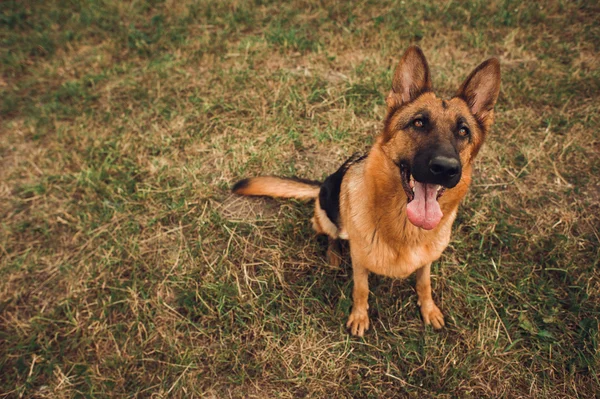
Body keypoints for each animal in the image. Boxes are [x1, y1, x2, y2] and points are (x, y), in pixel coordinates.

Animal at [232, 47, 500, 338]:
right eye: (418, 123)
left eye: (463, 131)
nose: (445, 168)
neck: (404, 229)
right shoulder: (359, 260)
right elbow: (361, 289)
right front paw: (359, 317)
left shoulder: (426, 261)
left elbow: (424, 283)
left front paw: (428, 309)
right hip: (325, 215)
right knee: (332, 235)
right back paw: (333, 255)